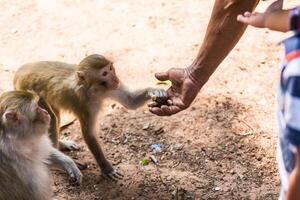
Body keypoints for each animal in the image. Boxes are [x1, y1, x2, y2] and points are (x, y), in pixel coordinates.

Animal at [14, 54, 166, 180]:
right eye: (104, 73)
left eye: (111, 68)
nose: (115, 79)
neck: (95, 89)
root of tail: (20, 71)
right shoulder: (84, 103)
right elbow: (89, 134)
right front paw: (107, 169)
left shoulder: (110, 88)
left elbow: (130, 101)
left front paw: (156, 91)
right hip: (28, 93)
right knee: (50, 117)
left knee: (54, 115)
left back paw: (62, 144)